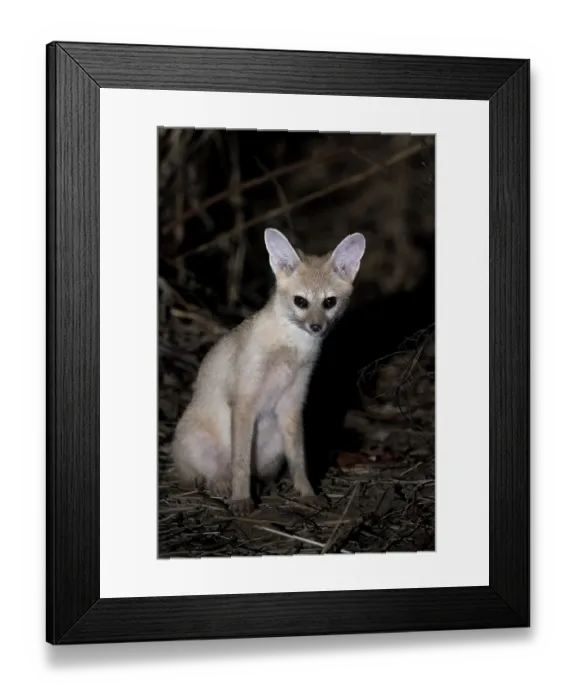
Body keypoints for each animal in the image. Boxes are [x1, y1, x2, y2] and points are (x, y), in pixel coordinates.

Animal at [171, 227, 366, 515]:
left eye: (329, 302)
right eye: (301, 301)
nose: (316, 327)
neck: (290, 349)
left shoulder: (292, 403)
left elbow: (299, 460)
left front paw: (307, 493)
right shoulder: (244, 401)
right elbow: (240, 462)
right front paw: (241, 499)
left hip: (274, 443)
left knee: (260, 473)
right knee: (209, 473)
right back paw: (221, 484)